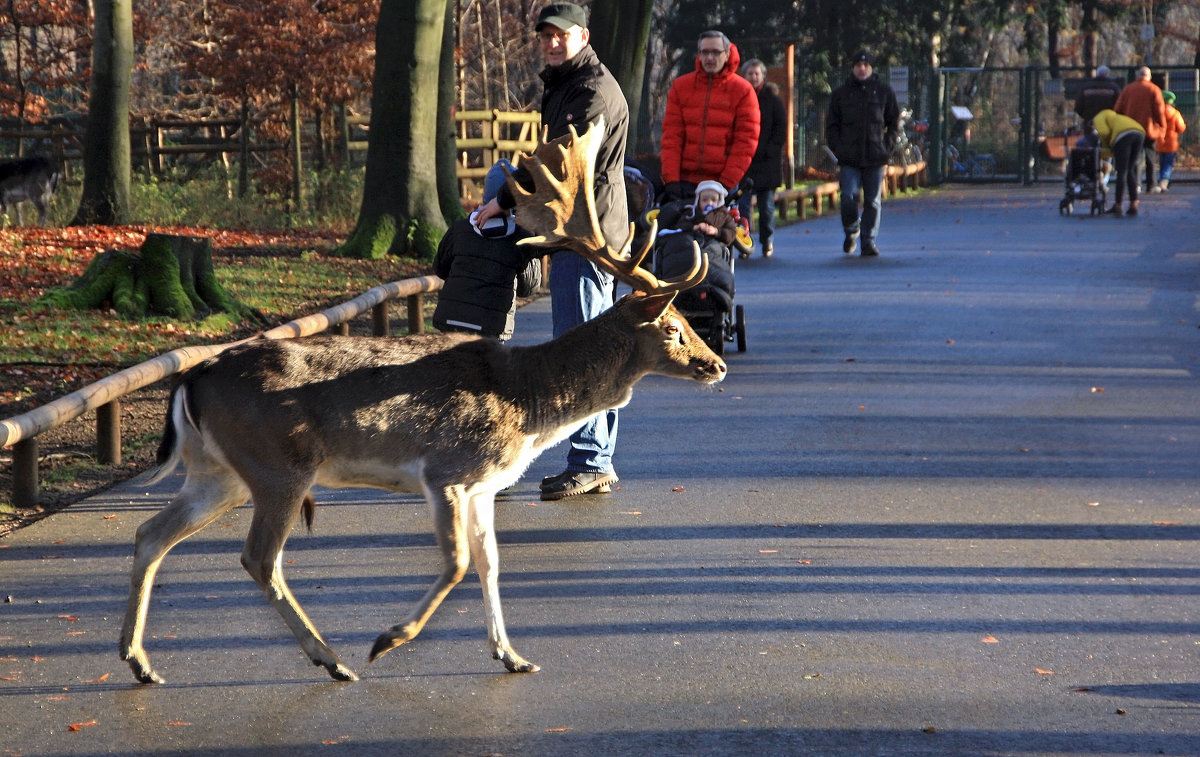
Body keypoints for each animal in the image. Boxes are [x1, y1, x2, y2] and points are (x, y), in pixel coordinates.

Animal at [117, 119, 724, 686]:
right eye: (672, 327)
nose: (716, 364)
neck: (526, 402)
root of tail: (192, 379)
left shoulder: (482, 485)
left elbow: (490, 564)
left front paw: (513, 655)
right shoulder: (447, 469)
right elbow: (457, 563)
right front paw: (389, 639)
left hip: (220, 471)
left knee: (151, 534)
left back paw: (139, 660)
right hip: (276, 465)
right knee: (259, 557)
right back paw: (333, 658)